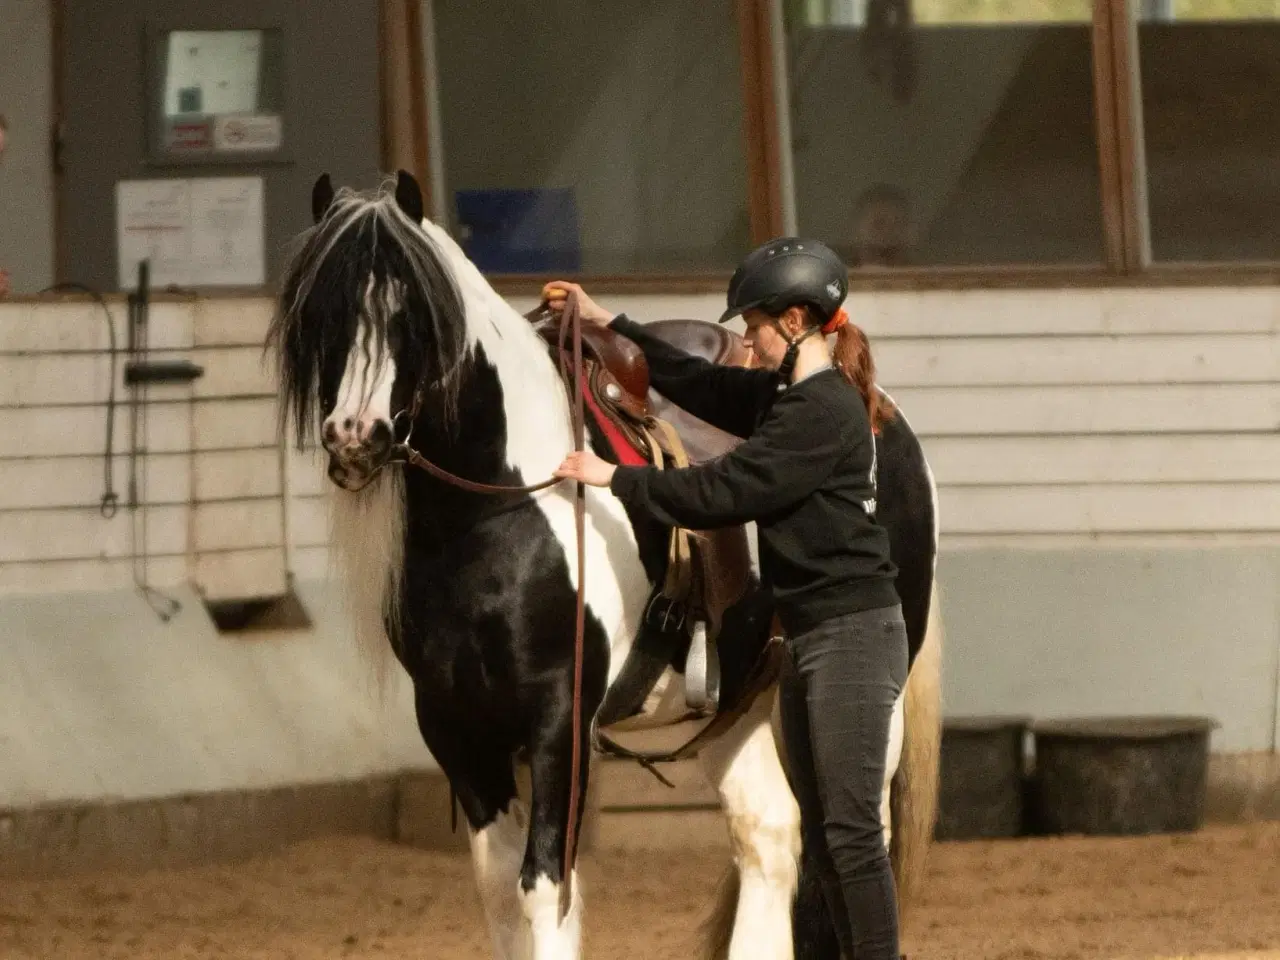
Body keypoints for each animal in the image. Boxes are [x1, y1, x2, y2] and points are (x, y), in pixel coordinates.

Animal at [264, 172, 947, 960]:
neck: (497, 515)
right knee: (771, 837)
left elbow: (544, 888)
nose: (356, 438)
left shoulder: (559, 718)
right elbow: (499, 891)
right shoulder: (455, 727)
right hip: (739, 698)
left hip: (871, 707)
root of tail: (882, 411)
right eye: (323, 312)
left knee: (856, 841)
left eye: (413, 313)